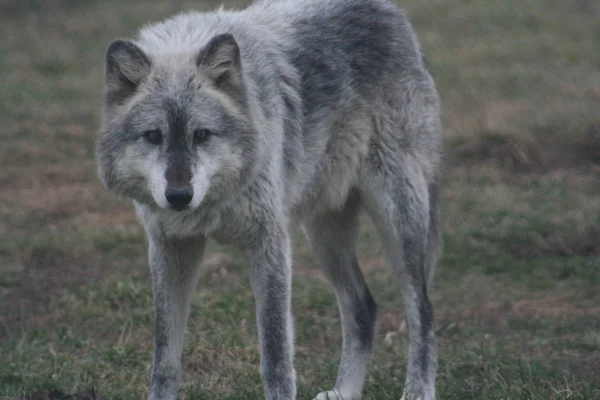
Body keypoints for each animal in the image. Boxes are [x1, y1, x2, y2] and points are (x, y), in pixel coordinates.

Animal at [96, 0, 442, 398]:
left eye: (202, 135)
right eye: (154, 136)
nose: (179, 196)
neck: (215, 201)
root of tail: (388, 10)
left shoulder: (269, 243)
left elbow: (276, 355)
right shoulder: (172, 248)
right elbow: (165, 358)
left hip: (397, 221)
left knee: (423, 311)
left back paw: (418, 390)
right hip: (324, 235)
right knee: (363, 307)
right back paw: (344, 390)